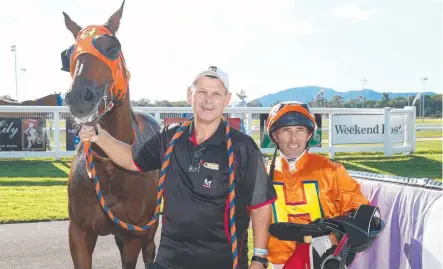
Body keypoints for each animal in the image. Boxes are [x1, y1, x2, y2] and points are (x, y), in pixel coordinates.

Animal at [61, 1, 160, 266]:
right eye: (67, 54)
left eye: (112, 48)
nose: (79, 96)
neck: (108, 166)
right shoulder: (79, 232)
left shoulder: (135, 233)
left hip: (150, 227)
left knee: (150, 251)